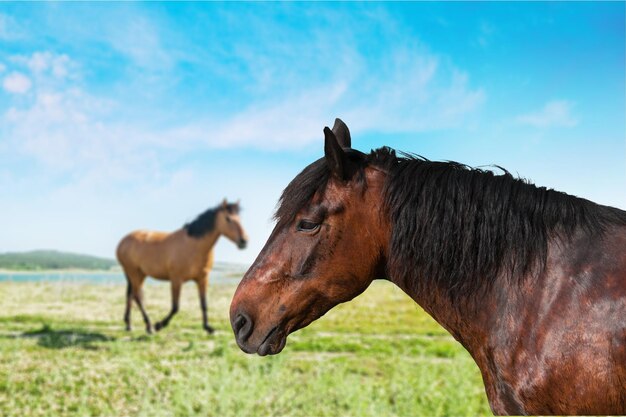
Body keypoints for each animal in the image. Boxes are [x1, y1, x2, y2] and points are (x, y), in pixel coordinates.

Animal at [116, 200, 246, 334]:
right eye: (228, 218)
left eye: (240, 218)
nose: (243, 241)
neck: (194, 245)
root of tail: (123, 242)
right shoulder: (176, 280)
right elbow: (175, 307)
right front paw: (160, 325)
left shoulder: (202, 279)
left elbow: (204, 304)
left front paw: (208, 327)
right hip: (134, 273)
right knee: (137, 297)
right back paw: (149, 325)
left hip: (139, 274)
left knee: (131, 296)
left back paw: (129, 324)